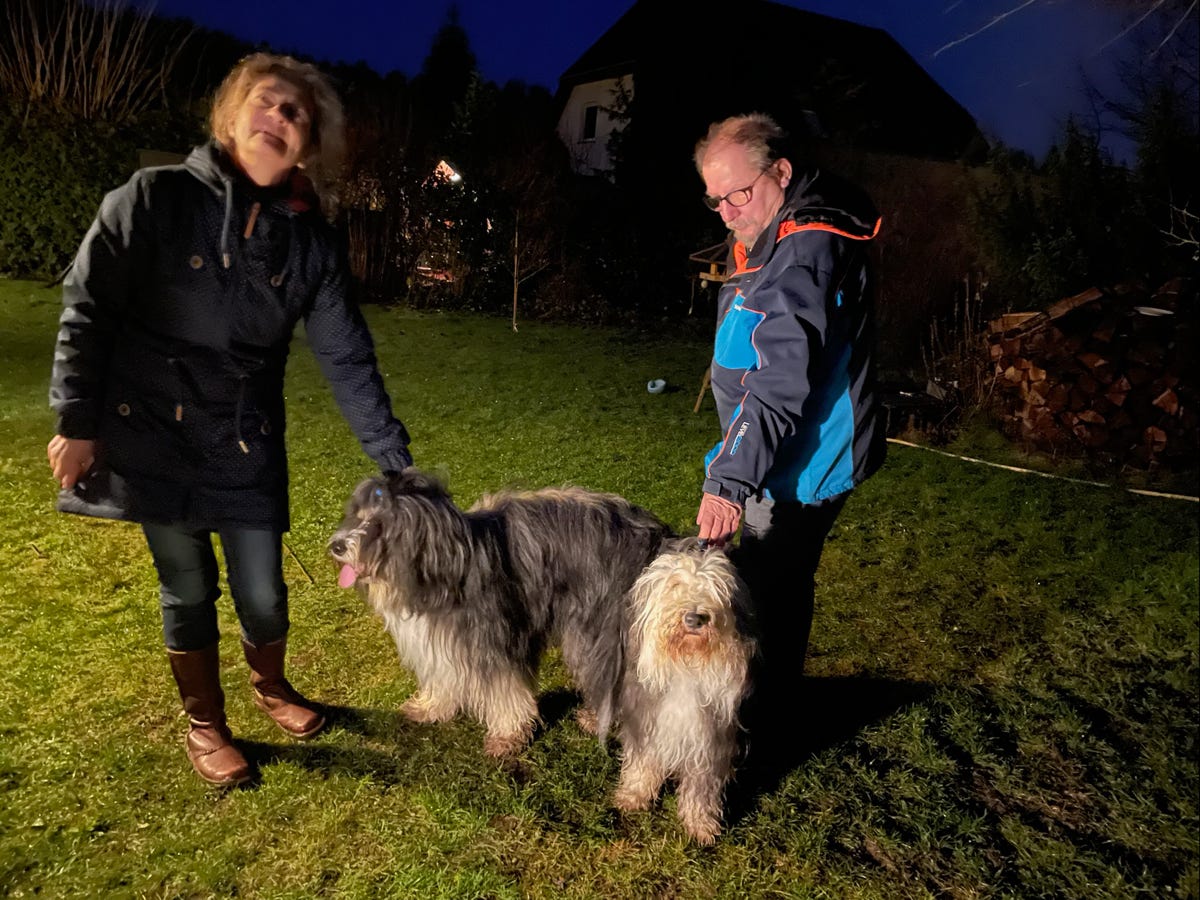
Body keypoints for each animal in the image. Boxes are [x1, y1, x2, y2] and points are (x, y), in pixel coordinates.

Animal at [328, 472, 676, 763]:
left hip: (596, 627)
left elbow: (506, 691)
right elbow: (441, 675)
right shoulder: (436, 639)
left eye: (379, 524)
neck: (443, 568)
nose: (336, 545)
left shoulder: (492, 640)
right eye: (358, 515)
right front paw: (431, 707)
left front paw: (508, 735)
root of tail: (658, 536)